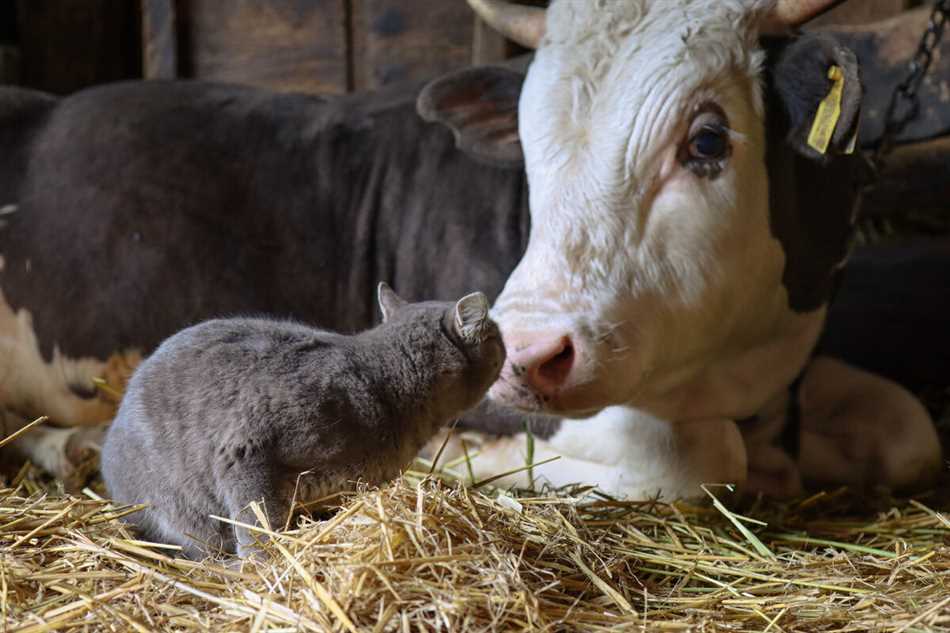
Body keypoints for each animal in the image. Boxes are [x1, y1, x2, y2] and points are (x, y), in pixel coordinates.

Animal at [0, 0, 948, 498]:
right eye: (527, 143)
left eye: (708, 140)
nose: (523, 349)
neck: (744, 365)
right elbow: (688, 459)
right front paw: (460, 460)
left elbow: (911, 429)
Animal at [102, 282, 506, 556]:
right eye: (497, 338)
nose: (507, 343)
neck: (384, 383)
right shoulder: (245, 453)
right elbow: (257, 526)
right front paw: (265, 564)